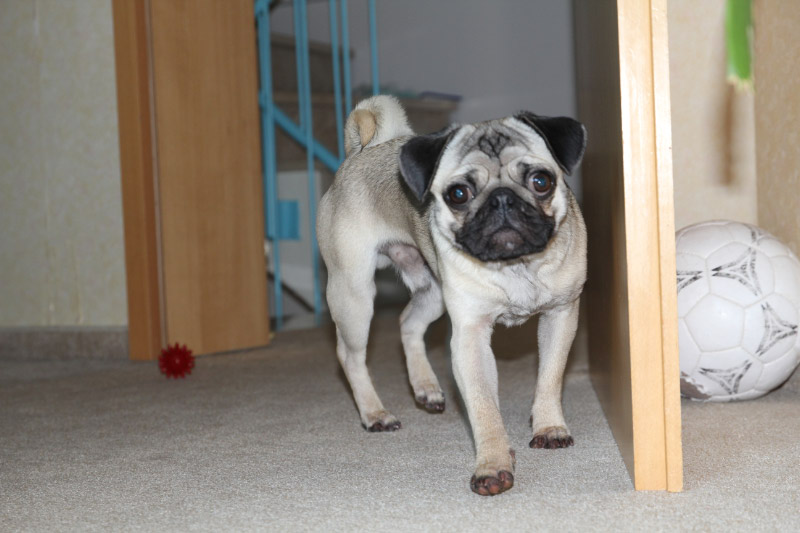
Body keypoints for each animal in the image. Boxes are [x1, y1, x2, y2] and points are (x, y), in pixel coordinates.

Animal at [317, 95, 587, 496]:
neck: (515, 264)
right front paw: (493, 465)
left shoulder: (560, 316)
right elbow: (484, 407)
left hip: (433, 290)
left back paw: (426, 388)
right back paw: (375, 413)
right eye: (458, 194)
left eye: (542, 182)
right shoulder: (470, 337)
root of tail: (361, 152)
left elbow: (550, 378)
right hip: (354, 294)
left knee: (407, 323)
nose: (502, 200)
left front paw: (549, 427)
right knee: (349, 355)